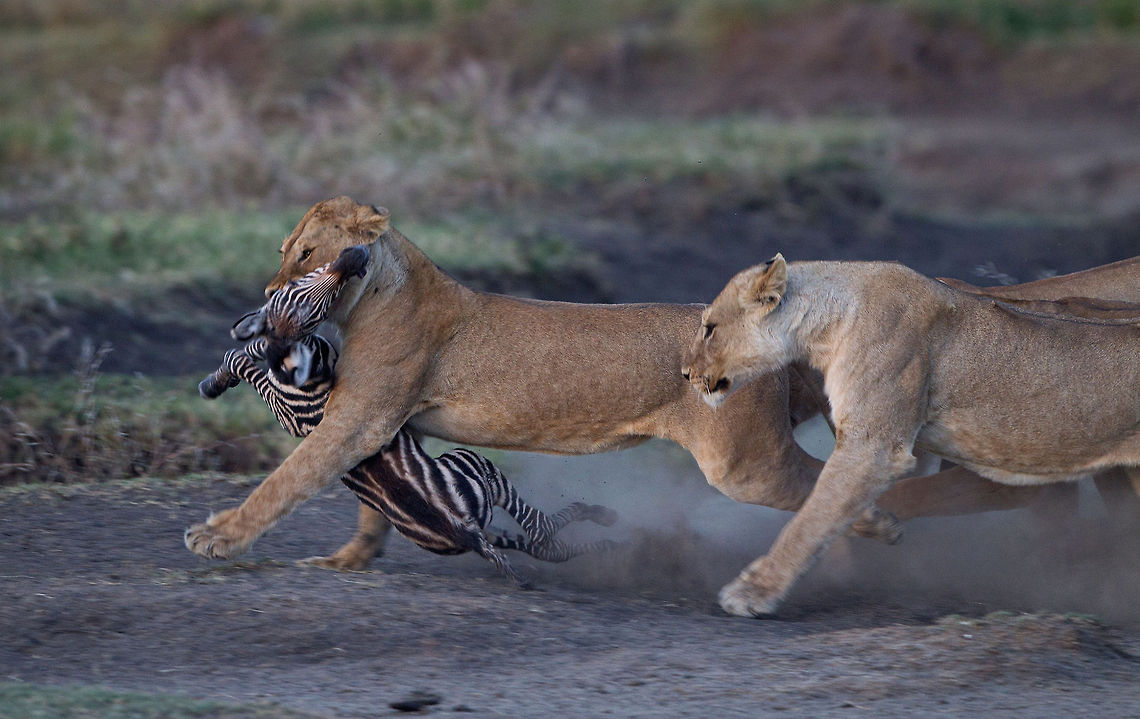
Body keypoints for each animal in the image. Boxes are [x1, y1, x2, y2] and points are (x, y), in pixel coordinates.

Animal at [199, 252, 619, 588]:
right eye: (304, 287)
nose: (356, 255)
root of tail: (463, 531)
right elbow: (247, 358)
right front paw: (216, 381)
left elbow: (248, 355)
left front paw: (217, 379)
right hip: (475, 476)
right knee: (538, 537)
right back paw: (603, 529)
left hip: (474, 477)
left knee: (540, 534)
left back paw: (604, 526)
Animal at [683, 254, 1140, 617]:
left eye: (709, 327)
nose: (685, 373)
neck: (826, 323)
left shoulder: (875, 447)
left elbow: (813, 518)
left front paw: (753, 592)